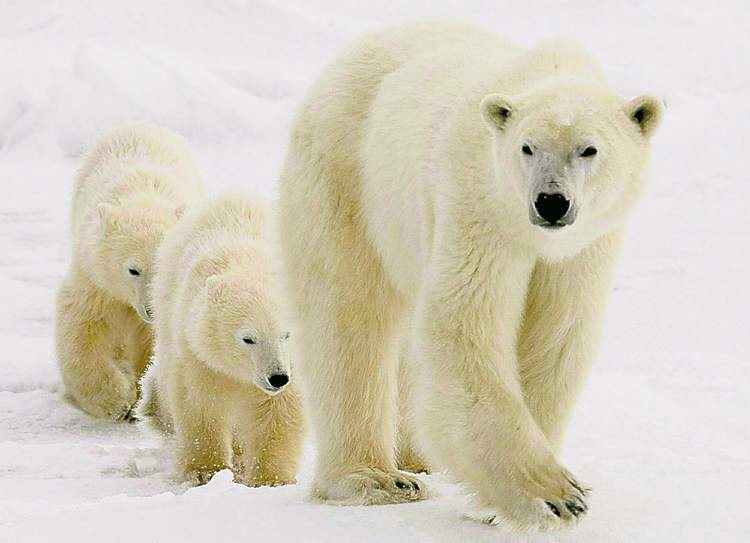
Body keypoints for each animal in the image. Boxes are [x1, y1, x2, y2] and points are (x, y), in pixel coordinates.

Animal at [55, 122, 203, 421]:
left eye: (163, 266)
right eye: (133, 269)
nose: (150, 310)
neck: (142, 196)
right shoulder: (94, 276)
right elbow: (80, 325)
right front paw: (116, 400)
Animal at [140, 193, 304, 487]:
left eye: (287, 334)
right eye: (248, 338)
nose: (277, 378)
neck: (249, 262)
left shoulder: (294, 363)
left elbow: (279, 411)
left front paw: (271, 479)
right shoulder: (198, 351)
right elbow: (200, 403)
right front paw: (206, 471)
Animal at [277, 21, 662, 530]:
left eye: (589, 149)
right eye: (527, 147)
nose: (551, 202)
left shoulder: (585, 248)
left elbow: (557, 338)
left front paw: (498, 505)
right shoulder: (479, 204)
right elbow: (464, 326)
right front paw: (555, 495)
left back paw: (414, 457)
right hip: (349, 173)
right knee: (349, 315)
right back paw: (377, 478)